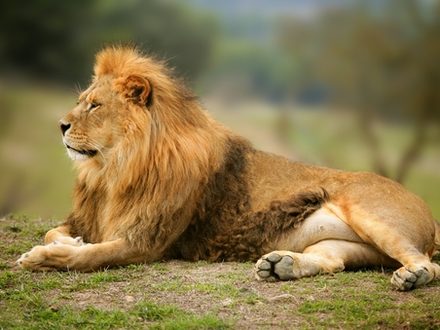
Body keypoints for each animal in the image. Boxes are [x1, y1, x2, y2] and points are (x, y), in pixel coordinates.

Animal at [17, 45, 440, 290]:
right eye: (82, 101)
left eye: (95, 105)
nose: (60, 125)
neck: (113, 168)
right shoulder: (91, 219)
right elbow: (58, 232)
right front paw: (68, 242)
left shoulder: (146, 241)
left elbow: (88, 257)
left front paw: (40, 258)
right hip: (346, 245)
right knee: (334, 261)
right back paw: (280, 266)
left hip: (371, 214)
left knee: (427, 263)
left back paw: (412, 276)